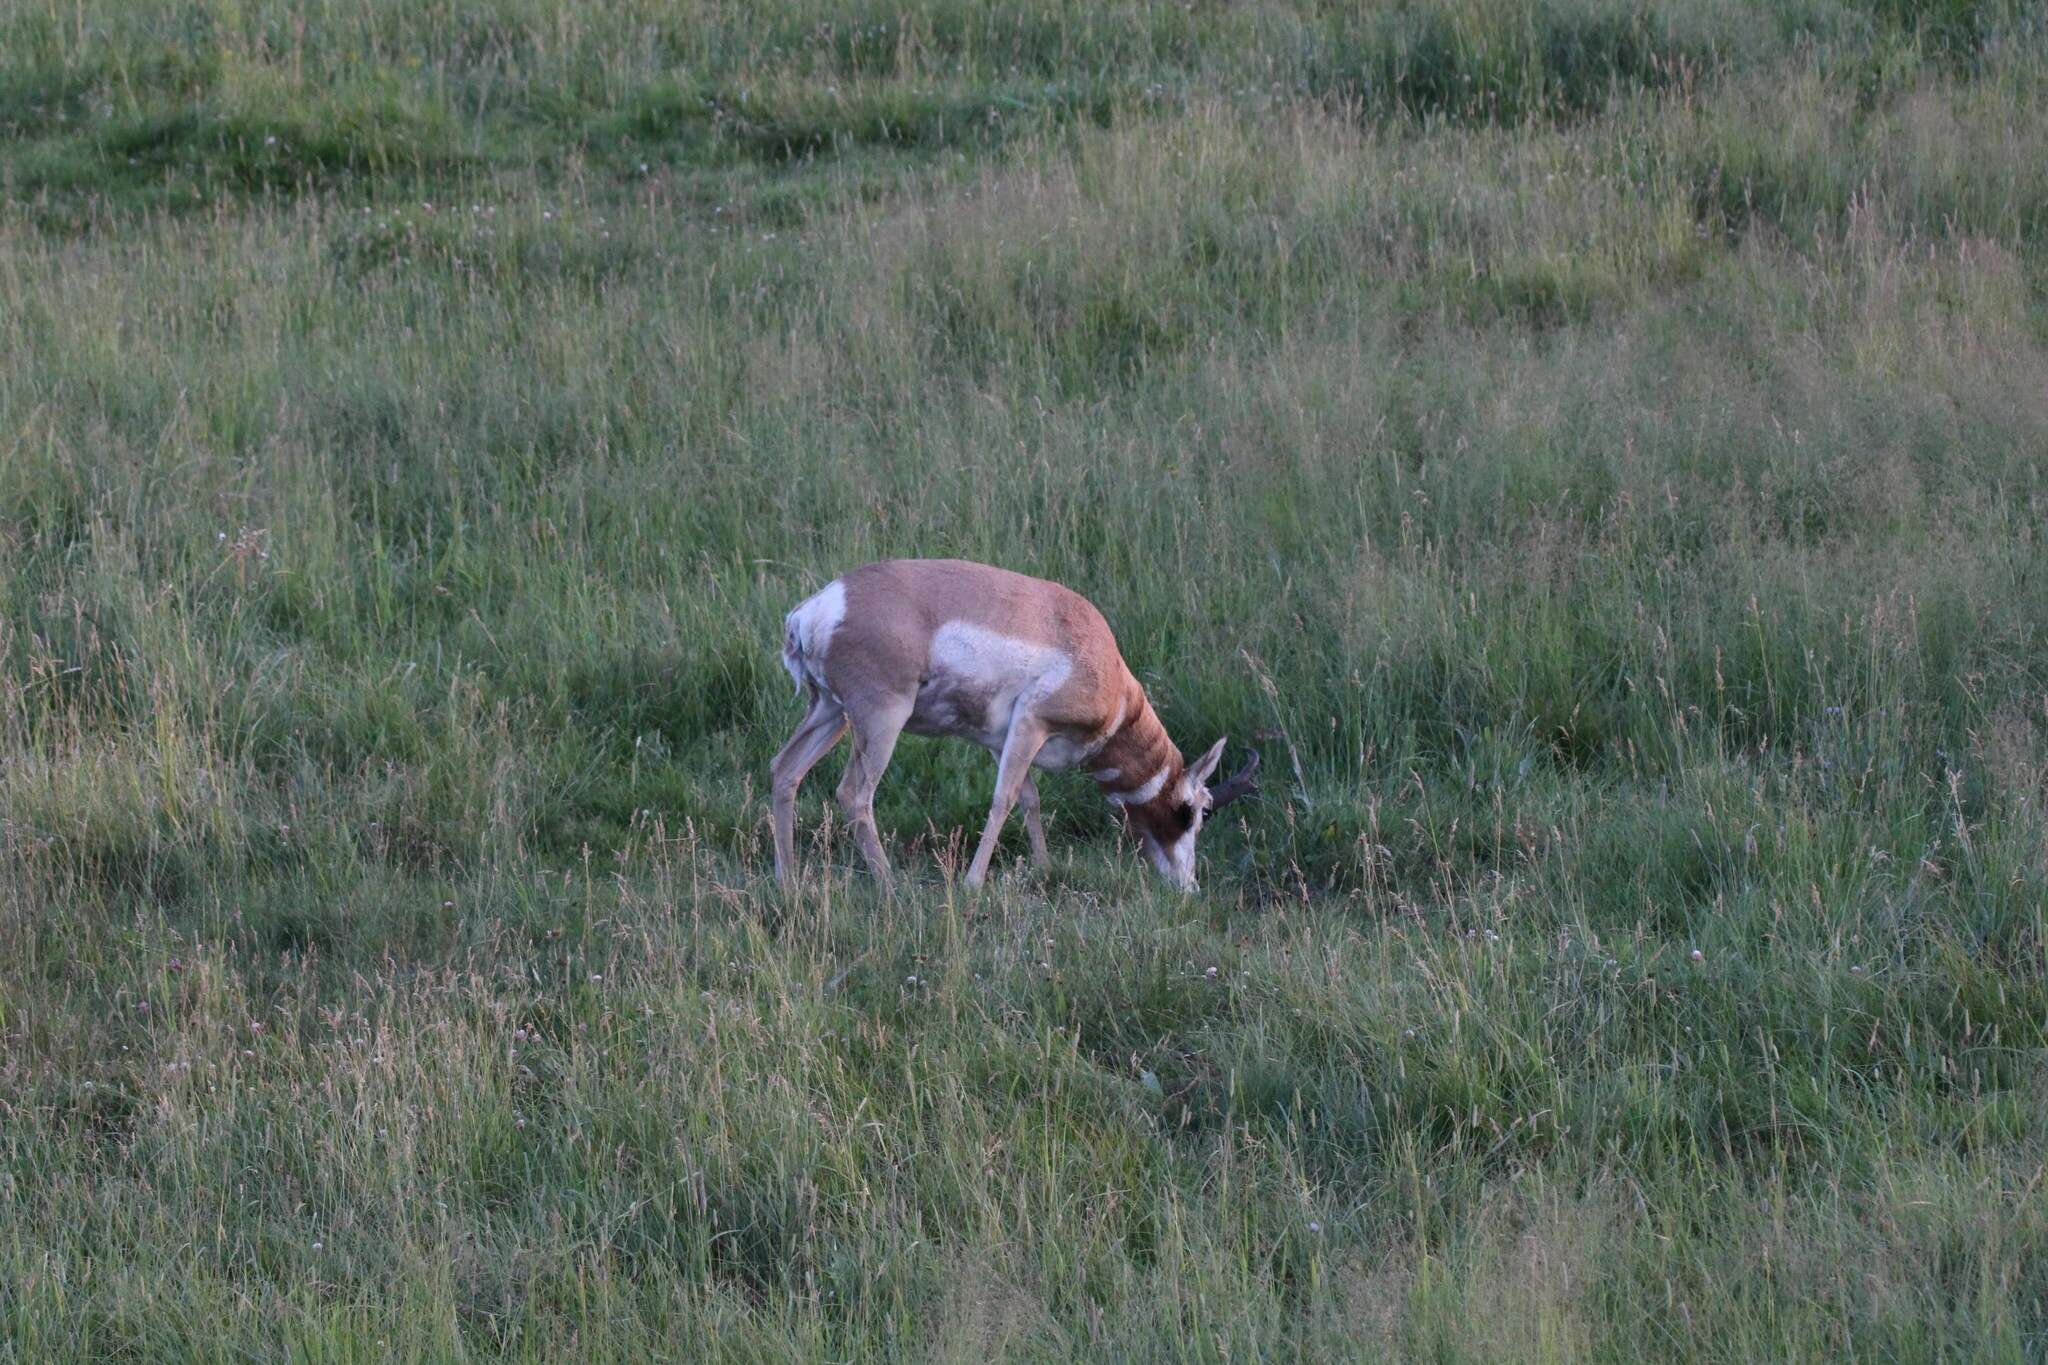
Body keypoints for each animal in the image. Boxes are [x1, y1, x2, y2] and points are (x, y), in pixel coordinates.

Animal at [770, 556, 1253, 896]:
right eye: (1195, 811)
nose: (1189, 887)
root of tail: (819, 607)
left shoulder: (998, 740)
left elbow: (1029, 799)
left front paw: (1043, 868)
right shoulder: (1031, 723)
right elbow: (1003, 800)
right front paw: (972, 884)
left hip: (830, 712)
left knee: (784, 769)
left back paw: (788, 882)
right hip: (881, 718)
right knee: (854, 793)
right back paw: (890, 886)